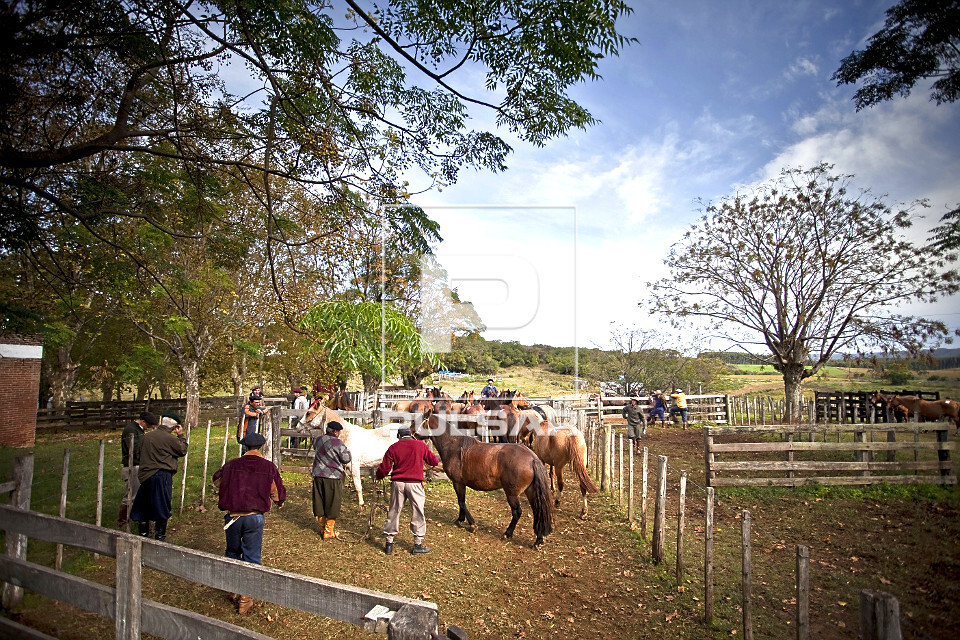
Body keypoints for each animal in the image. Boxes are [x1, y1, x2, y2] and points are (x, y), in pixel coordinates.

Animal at [420, 410, 556, 552]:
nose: (411, 434)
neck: (454, 446)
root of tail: (532, 458)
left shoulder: (458, 483)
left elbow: (461, 502)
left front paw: (471, 524)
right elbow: (461, 502)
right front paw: (460, 520)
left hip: (512, 494)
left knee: (517, 512)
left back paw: (507, 533)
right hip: (531, 491)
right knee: (538, 511)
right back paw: (538, 540)